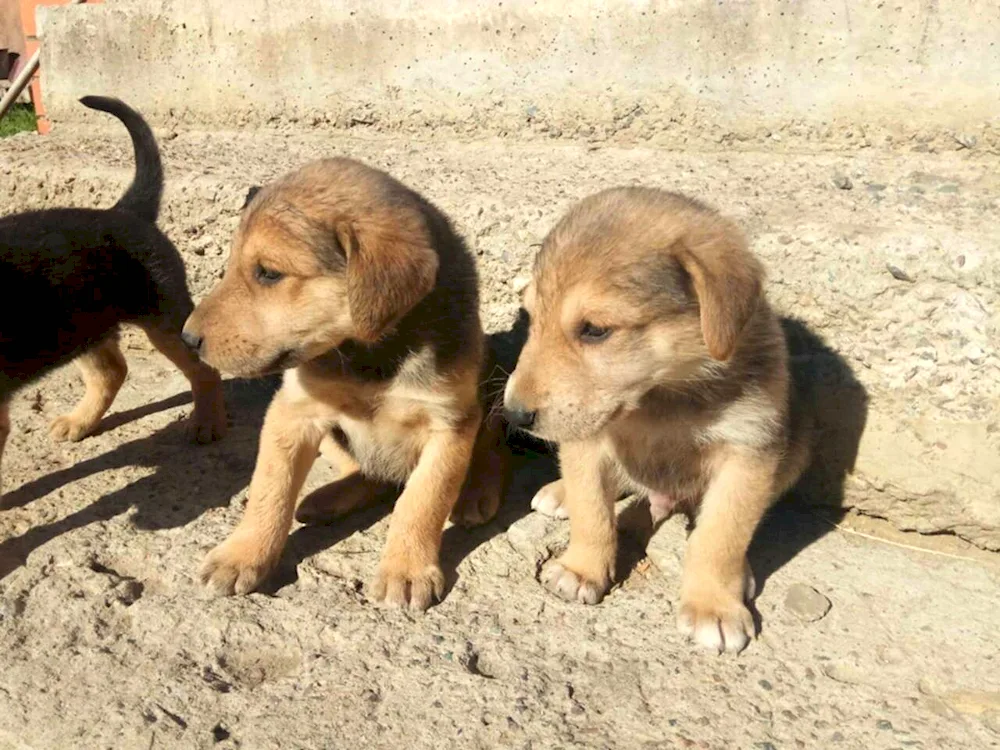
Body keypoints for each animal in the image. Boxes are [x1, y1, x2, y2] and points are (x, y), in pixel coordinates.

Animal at [0, 98, 227, 500]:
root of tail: (125, 212)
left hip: (163, 319)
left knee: (202, 368)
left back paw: (207, 422)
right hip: (83, 324)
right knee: (111, 371)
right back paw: (79, 421)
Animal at [182, 159, 508, 612]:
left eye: (269, 273)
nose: (187, 339)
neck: (370, 355)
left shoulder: (450, 423)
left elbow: (422, 501)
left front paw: (407, 570)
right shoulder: (293, 412)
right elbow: (269, 490)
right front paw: (242, 555)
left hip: (493, 390)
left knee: (492, 447)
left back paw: (476, 492)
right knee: (368, 473)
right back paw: (327, 498)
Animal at [504, 187, 808, 652]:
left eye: (595, 329)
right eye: (533, 320)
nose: (513, 413)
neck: (661, 398)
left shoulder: (749, 451)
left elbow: (721, 536)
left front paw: (714, 606)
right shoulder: (588, 440)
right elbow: (592, 513)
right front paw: (581, 569)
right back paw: (560, 493)